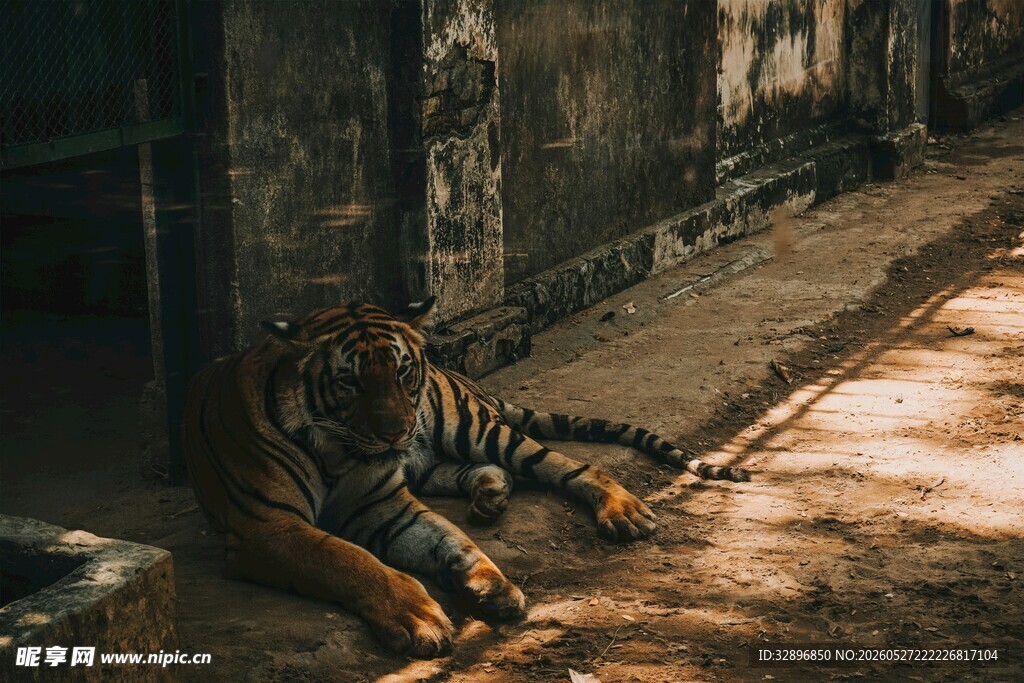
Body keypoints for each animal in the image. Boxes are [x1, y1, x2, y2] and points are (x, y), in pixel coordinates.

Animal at [183, 297, 750, 657]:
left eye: (400, 371)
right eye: (349, 381)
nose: (396, 431)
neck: (339, 453)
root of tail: (462, 375)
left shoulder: (382, 502)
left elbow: (448, 539)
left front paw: (490, 586)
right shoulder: (267, 526)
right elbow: (348, 560)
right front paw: (422, 616)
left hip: (473, 429)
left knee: (569, 464)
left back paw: (622, 510)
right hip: (432, 460)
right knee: (487, 474)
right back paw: (490, 496)